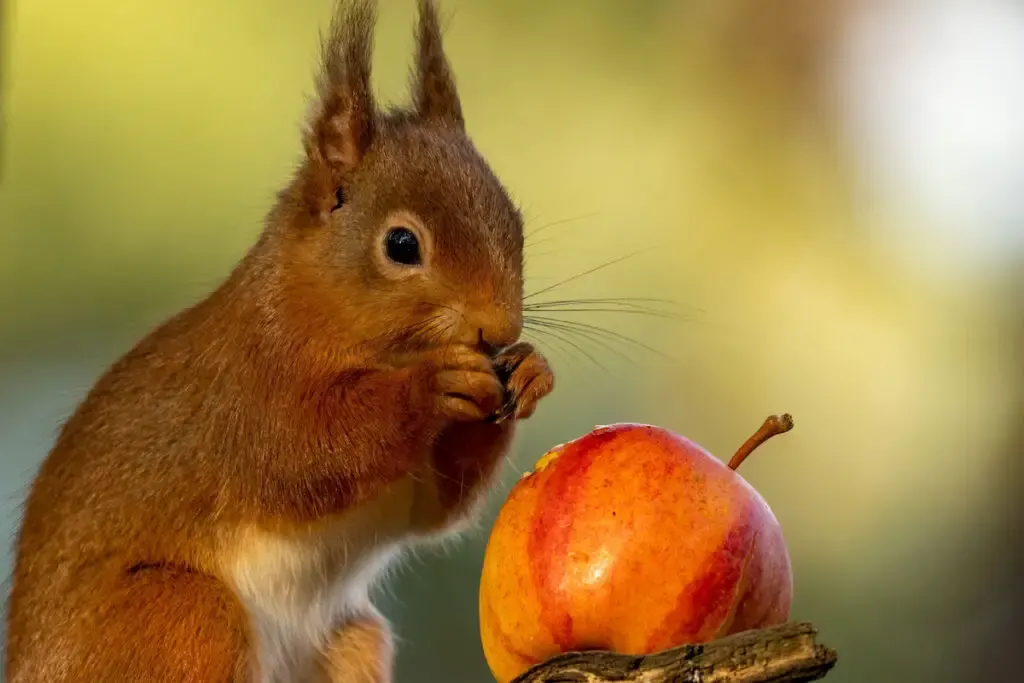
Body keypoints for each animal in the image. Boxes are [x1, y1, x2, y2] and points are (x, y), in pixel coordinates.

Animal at [6, 2, 552, 679]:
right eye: (401, 245)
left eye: (516, 224)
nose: (498, 330)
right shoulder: (249, 381)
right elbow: (305, 450)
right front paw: (431, 386)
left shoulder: (409, 487)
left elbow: (437, 507)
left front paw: (529, 371)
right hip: (177, 614)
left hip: (345, 642)